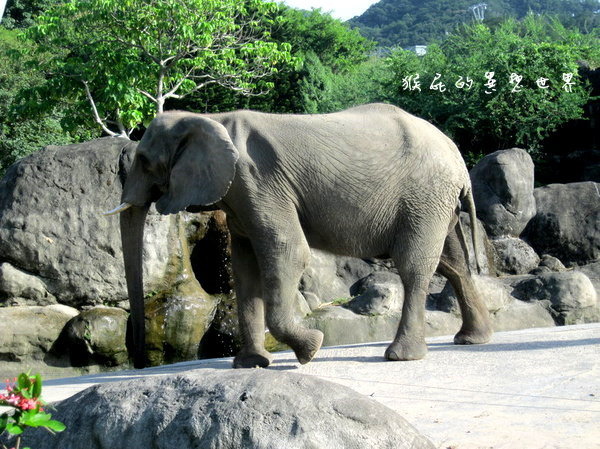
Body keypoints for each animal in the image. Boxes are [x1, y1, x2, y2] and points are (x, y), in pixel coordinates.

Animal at [106, 104, 492, 368]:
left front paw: (311, 349)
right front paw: (251, 365)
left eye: (145, 161)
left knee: (415, 266)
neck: (211, 117)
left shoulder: (258, 182)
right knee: (453, 264)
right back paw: (472, 339)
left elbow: (288, 250)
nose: (139, 363)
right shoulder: (241, 197)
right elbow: (245, 269)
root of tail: (458, 159)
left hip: (424, 196)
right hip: (435, 201)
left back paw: (400, 356)